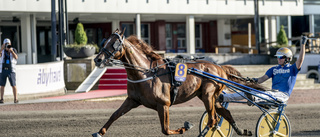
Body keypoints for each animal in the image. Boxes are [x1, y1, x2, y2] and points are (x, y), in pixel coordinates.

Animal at [90, 28, 264, 136]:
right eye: (104, 41)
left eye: (114, 43)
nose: (97, 59)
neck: (146, 72)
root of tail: (220, 68)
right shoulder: (132, 100)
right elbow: (115, 114)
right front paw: (99, 132)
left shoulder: (163, 104)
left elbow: (166, 129)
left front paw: (185, 127)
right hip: (210, 97)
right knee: (224, 114)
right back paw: (242, 131)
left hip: (208, 94)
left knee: (213, 120)